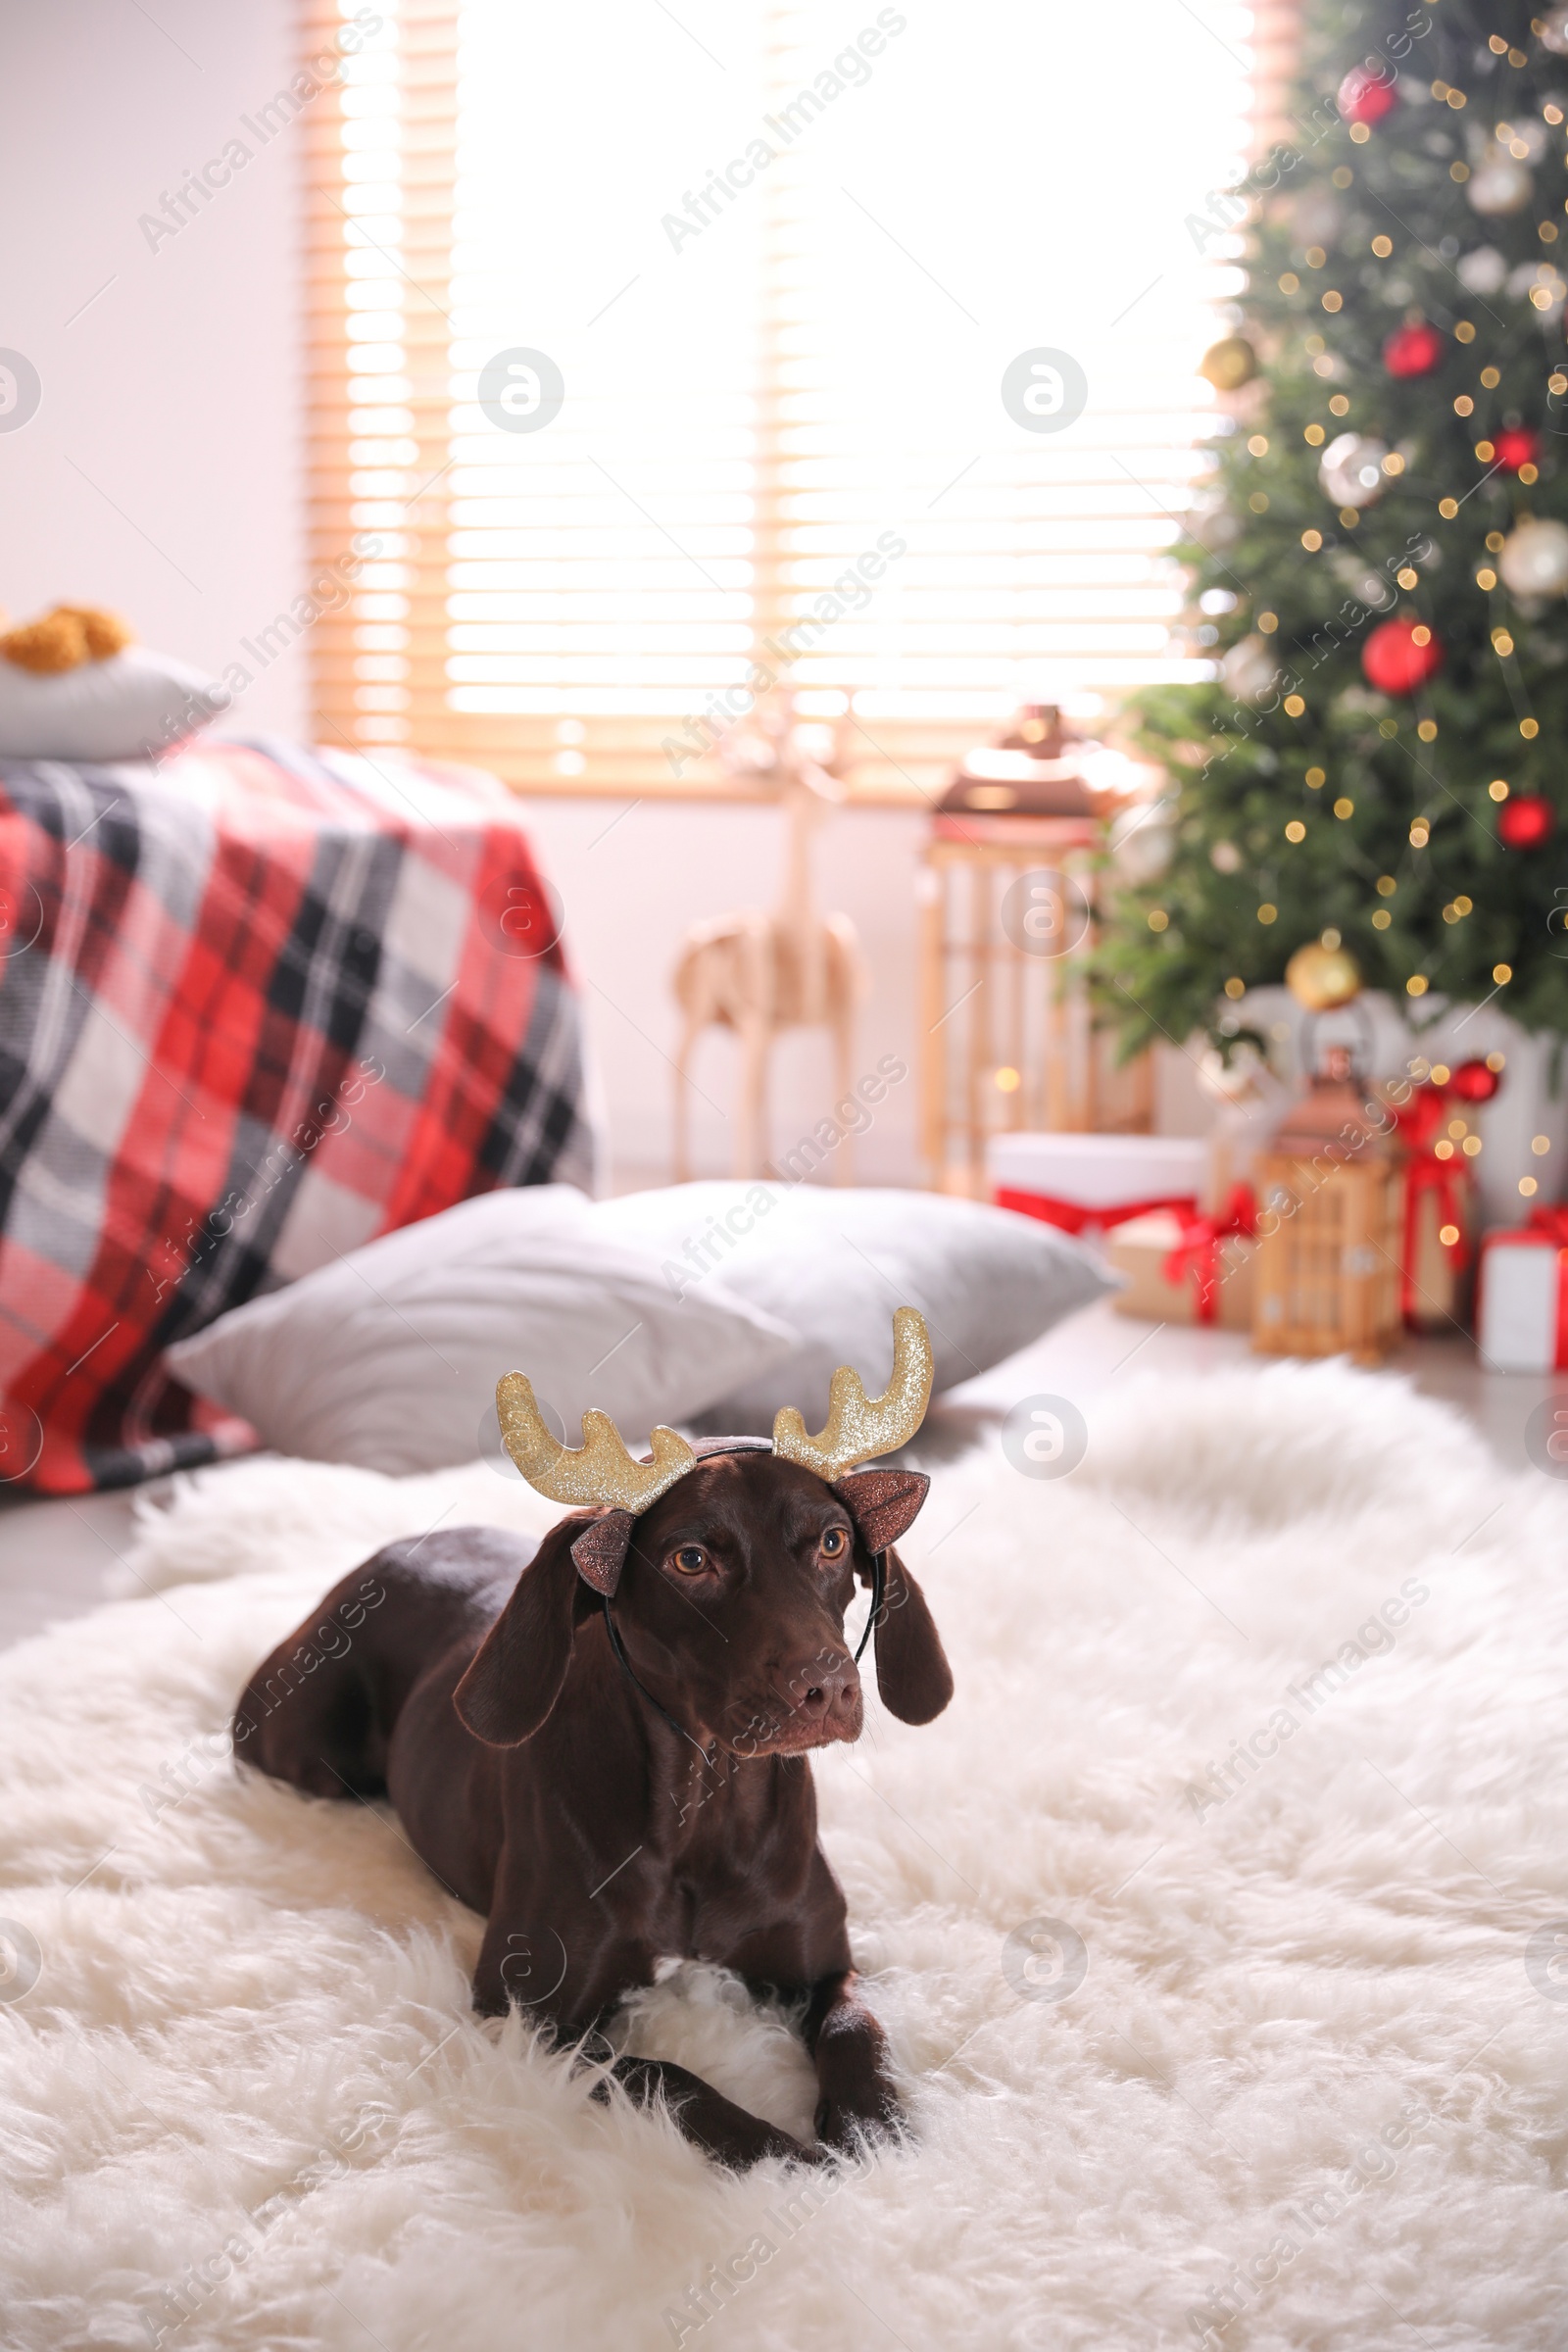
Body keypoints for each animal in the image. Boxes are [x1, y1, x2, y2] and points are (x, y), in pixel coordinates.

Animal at [226, 1411, 950, 2164]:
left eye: (833, 1543)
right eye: (692, 1560)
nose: (827, 1686)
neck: (705, 1805)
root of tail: (384, 1555)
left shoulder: (826, 1966)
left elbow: (856, 2028)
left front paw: (874, 2132)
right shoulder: (533, 2022)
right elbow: (672, 2079)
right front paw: (786, 2157)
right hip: (302, 1752)